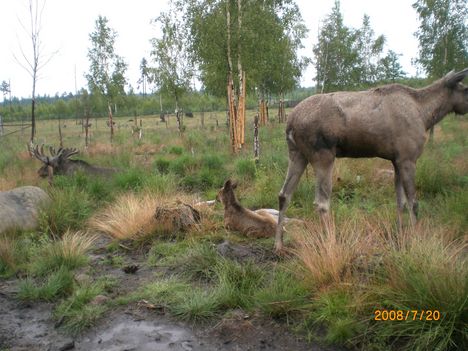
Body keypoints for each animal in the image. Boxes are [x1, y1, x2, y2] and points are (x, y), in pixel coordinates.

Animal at [276, 67, 468, 252]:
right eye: (465, 88)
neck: (426, 114)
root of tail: (290, 122)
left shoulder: (396, 161)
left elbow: (400, 202)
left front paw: (400, 236)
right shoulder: (408, 159)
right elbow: (413, 203)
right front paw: (417, 240)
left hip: (297, 154)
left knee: (284, 194)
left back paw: (279, 245)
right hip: (323, 156)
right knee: (321, 202)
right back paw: (331, 242)